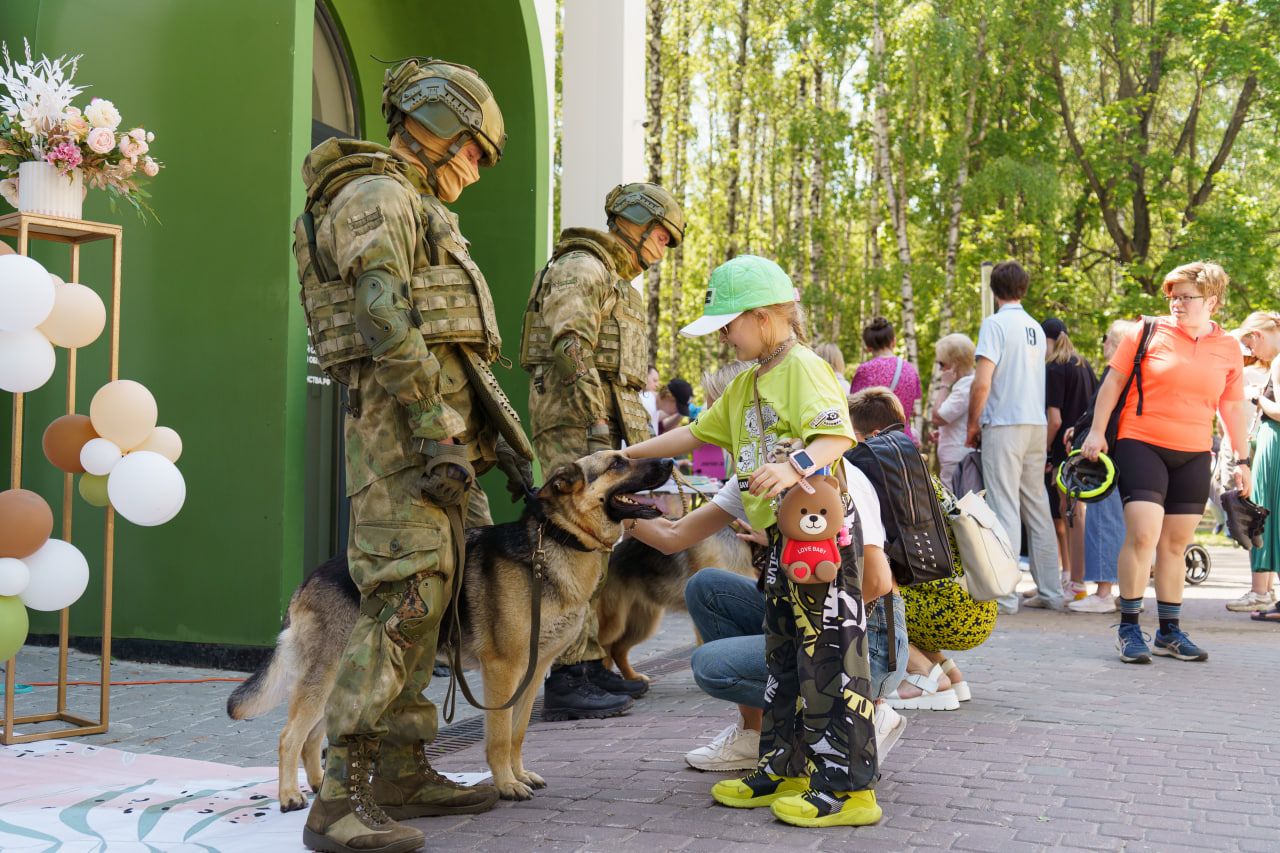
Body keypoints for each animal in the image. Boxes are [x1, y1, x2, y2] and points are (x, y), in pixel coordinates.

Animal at [229, 448, 670, 809]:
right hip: (327, 675)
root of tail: (307, 579)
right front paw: (506, 785)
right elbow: (498, 736)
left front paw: (519, 774)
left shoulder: (532, 673)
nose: (670, 462)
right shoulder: (502, 671)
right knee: (290, 736)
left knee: (312, 737)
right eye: (617, 464)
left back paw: (321, 785)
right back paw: (289, 795)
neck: (559, 542)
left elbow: (518, 733)